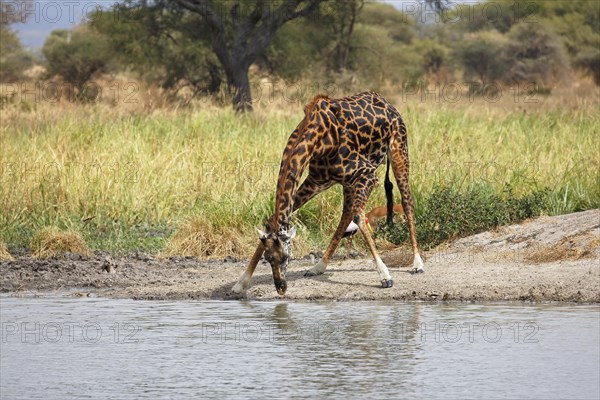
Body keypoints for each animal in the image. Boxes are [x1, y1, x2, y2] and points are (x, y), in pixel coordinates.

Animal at [232, 92, 424, 296]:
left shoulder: (368, 174)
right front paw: (241, 282)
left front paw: (385, 276)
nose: (281, 288)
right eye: (268, 258)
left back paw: (417, 263)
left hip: (399, 153)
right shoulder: (315, 181)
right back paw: (318, 267)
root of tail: (389, 104)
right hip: (347, 183)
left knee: (407, 202)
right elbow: (271, 220)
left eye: (286, 257)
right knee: (346, 214)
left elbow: (359, 216)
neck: (319, 140)